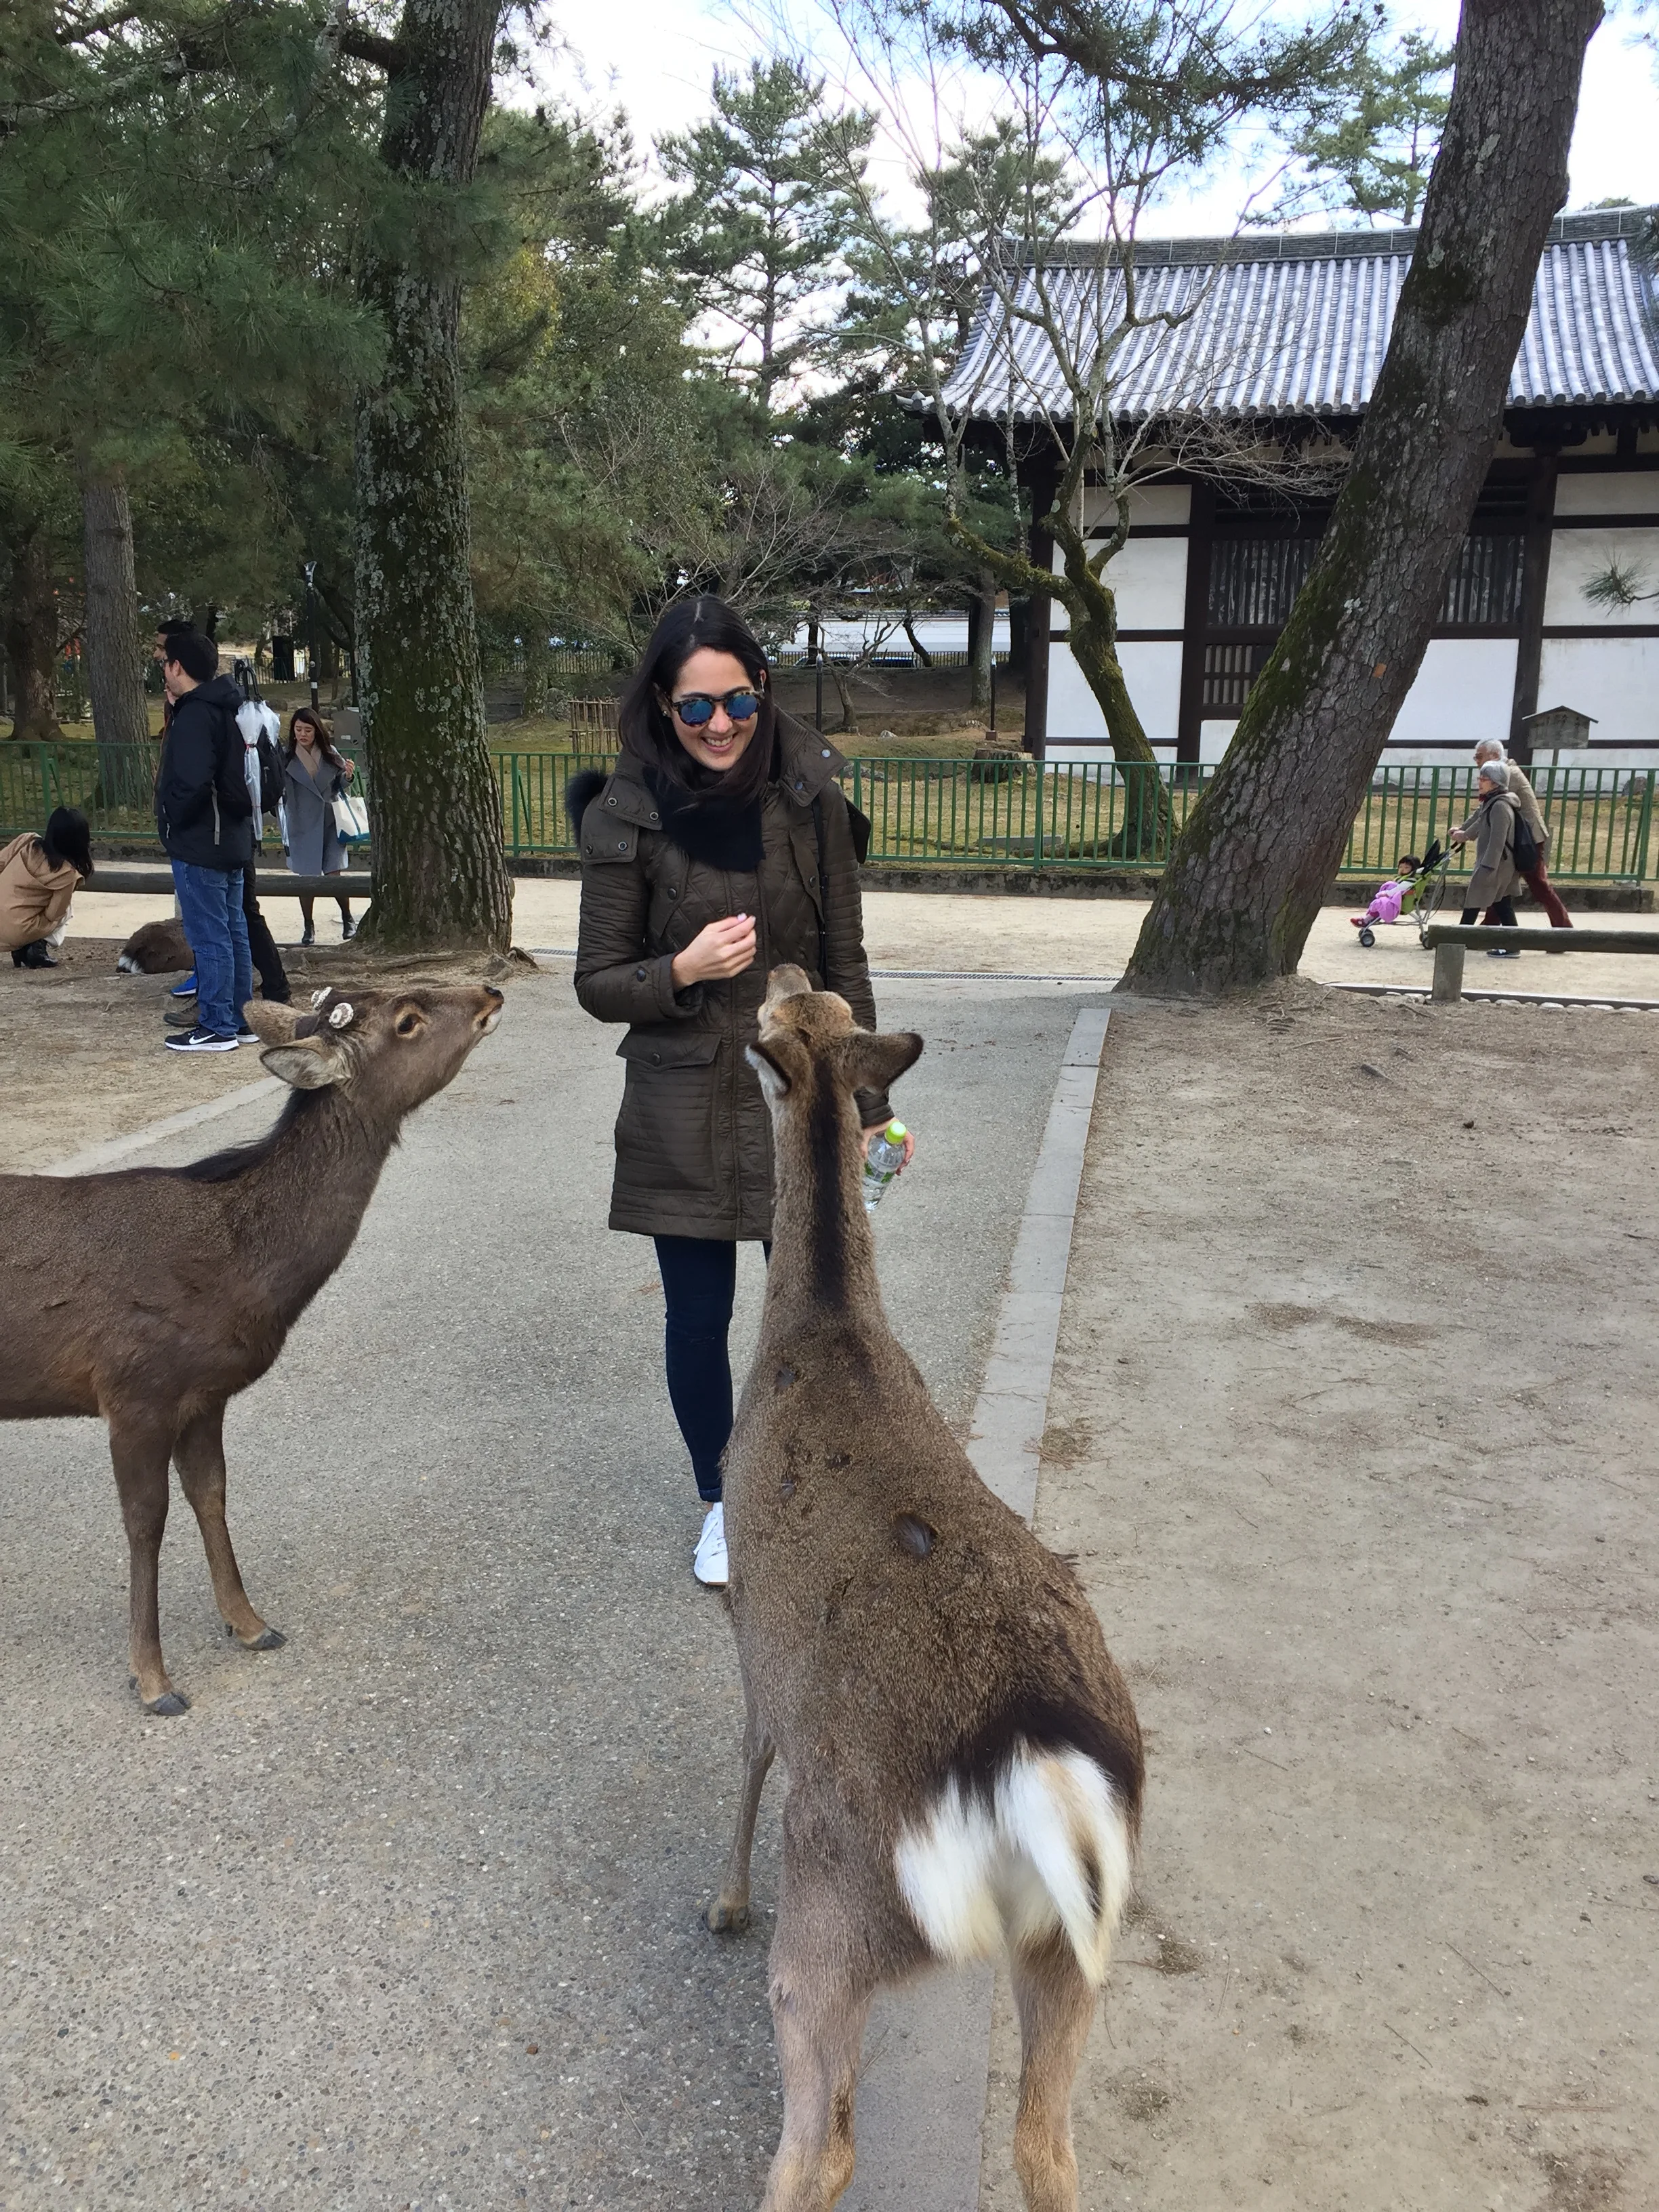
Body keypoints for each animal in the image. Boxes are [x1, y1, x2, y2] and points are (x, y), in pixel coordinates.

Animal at [0, 983, 503, 1716]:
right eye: (408, 1021)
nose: (489, 991)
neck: (238, 1273)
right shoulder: (135, 1389)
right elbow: (144, 1522)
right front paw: (154, 1680)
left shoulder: (204, 1395)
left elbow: (211, 1494)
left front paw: (250, 1623)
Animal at [708, 966, 1144, 2212]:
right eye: (815, 1003)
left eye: (779, 1019)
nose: (773, 969)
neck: (820, 1334)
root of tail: (1030, 1760)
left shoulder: (754, 1637)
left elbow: (746, 1754)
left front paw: (719, 1900)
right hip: (1077, 1940)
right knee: (1048, 2145)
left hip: (837, 1913)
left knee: (822, 2139)